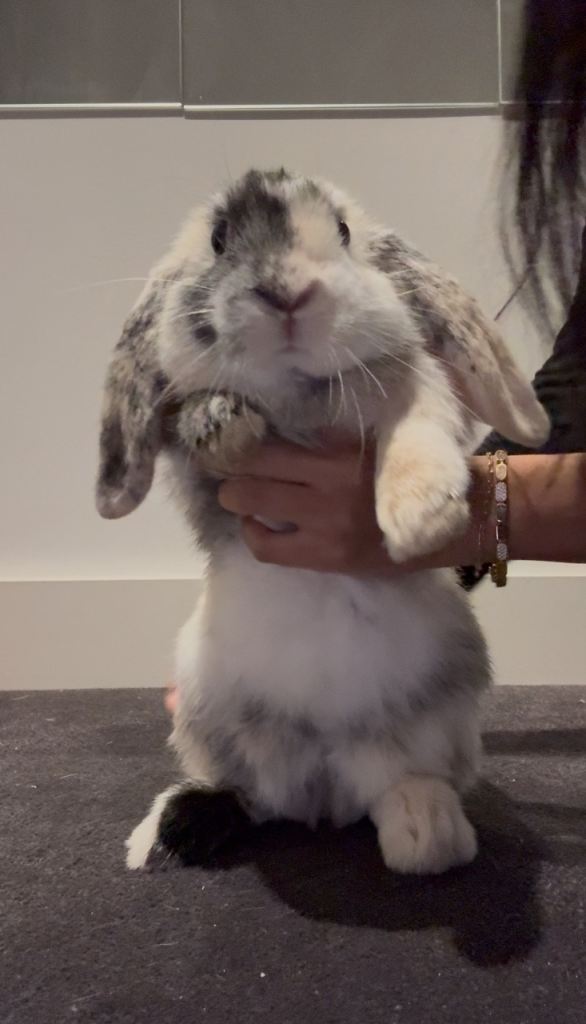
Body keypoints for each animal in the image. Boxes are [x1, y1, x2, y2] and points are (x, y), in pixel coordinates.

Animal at [96, 168, 549, 875]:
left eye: (341, 231)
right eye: (220, 240)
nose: (287, 293)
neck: (297, 396)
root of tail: (323, 791)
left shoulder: (415, 391)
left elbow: (418, 427)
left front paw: (421, 517)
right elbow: (201, 418)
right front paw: (222, 425)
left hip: (435, 722)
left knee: (400, 784)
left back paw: (428, 833)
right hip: (212, 716)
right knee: (248, 795)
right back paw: (166, 832)